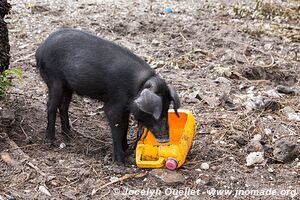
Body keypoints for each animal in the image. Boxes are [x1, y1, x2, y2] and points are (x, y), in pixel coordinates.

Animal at [35, 28, 180, 164]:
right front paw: (121, 163)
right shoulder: (114, 105)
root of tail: (41, 48)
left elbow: (125, 127)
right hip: (55, 79)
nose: (165, 139)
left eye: (167, 108)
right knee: (51, 106)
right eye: (155, 112)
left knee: (63, 107)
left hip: (68, 86)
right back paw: (51, 140)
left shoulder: (125, 108)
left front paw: (126, 148)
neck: (138, 87)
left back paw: (70, 135)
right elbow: (117, 129)